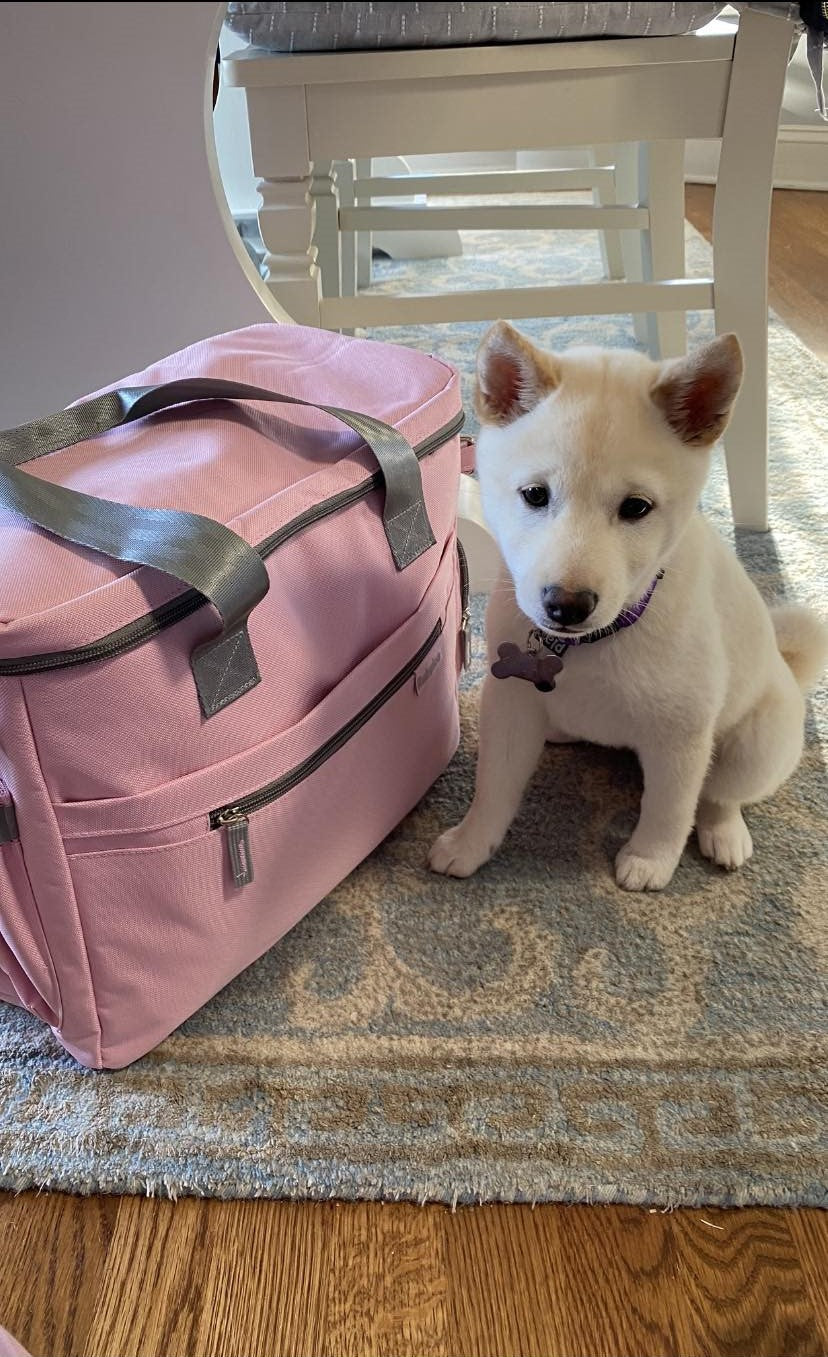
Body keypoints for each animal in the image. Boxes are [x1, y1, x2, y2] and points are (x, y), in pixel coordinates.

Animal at [428, 318, 819, 890]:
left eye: (636, 507)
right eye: (535, 495)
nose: (565, 605)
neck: (589, 647)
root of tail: (787, 668)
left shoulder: (681, 735)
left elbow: (671, 808)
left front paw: (652, 859)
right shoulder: (511, 707)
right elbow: (493, 787)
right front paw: (471, 843)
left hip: (757, 742)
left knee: (720, 795)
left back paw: (724, 834)